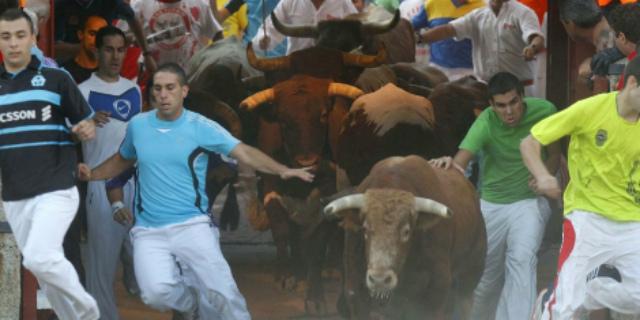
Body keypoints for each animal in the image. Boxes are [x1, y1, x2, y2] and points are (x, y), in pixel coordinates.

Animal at [324, 155, 484, 318]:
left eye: (406, 231)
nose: (379, 279)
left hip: (471, 274)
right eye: (365, 229)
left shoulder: (436, 294)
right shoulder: (355, 293)